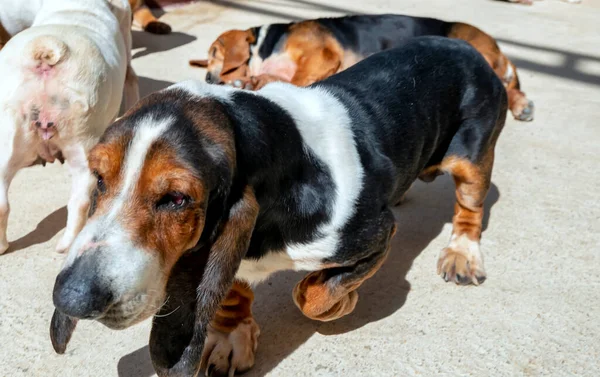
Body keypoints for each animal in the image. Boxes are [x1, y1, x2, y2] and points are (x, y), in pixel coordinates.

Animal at [0, 0, 139, 253]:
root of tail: (46, 51)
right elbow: (131, 76)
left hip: (11, 133)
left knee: (2, 200)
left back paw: (2, 247)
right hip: (83, 138)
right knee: (81, 198)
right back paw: (67, 244)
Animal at [50, 37, 506, 376]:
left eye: (176, 199)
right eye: (99, 178)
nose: (71, 297)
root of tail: (465, 45)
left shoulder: (376, 236)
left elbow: (311, 296)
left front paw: (342, 303)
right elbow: (232, 288)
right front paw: (230, 338)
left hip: (471, 157)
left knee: (470, 207)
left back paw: (462, 255)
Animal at [190, 13, 532, 120]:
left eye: (215, 52)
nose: (207, 75)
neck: (265, 46)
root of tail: (497, 49)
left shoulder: (322, 55)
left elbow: (299, 78)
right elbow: (270, 76)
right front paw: (251, 83)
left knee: (505, 85)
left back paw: (520, 105)